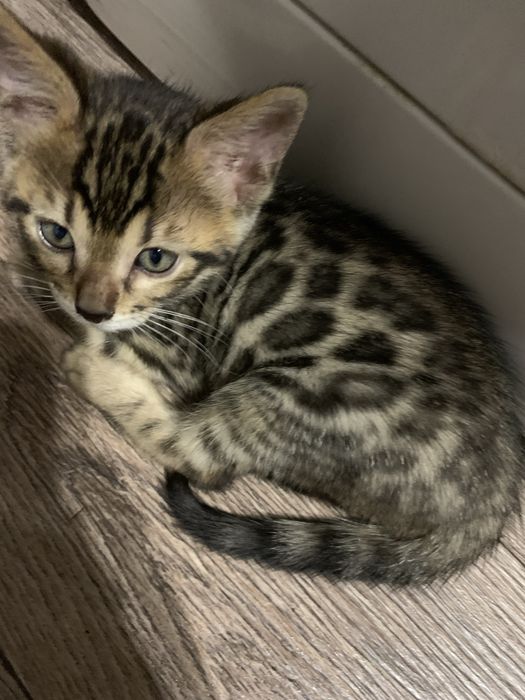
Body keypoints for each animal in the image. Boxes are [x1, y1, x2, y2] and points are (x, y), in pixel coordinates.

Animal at [1, 5, 523, 585]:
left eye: (156, 259)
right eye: (57, 234)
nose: (93, 307)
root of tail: (492, 500)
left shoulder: (177, 353)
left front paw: (26, 278)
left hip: (310, 391)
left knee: (205, 457)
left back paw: (92, 370)